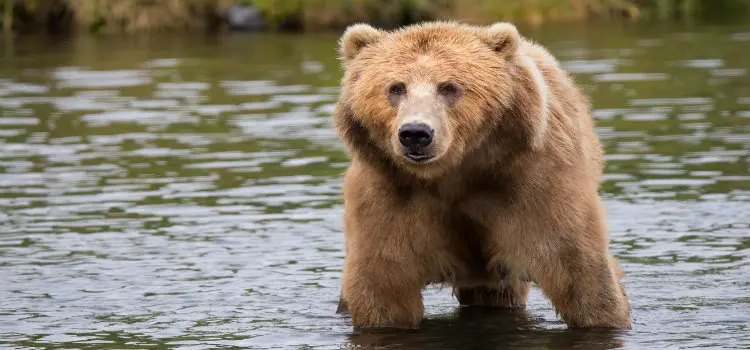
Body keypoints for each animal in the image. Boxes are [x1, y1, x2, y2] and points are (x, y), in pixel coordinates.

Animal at [332, 20, 632, 330]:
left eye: (449, 87)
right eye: (396, 87)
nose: (415, 133)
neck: (456, 172)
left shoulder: (532, 183)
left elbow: (578, 269)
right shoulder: (391, 193)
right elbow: (384, 283)